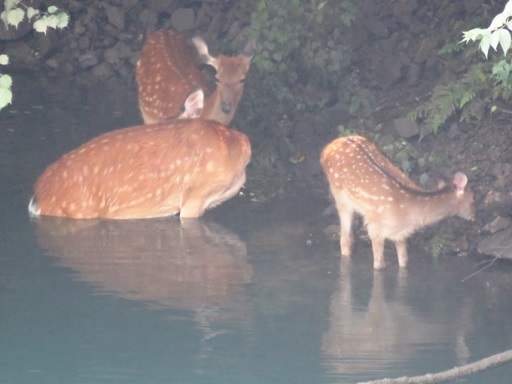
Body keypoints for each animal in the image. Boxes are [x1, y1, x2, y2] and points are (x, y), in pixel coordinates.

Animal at [320, 135, 476, 270]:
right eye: (473, 198)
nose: (473, 217)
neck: (408, 213)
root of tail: (326, 149)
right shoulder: (375, 228)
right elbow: (379, 265)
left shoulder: (401, 235)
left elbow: (404, 262)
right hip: (340, 196)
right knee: (345, 239)